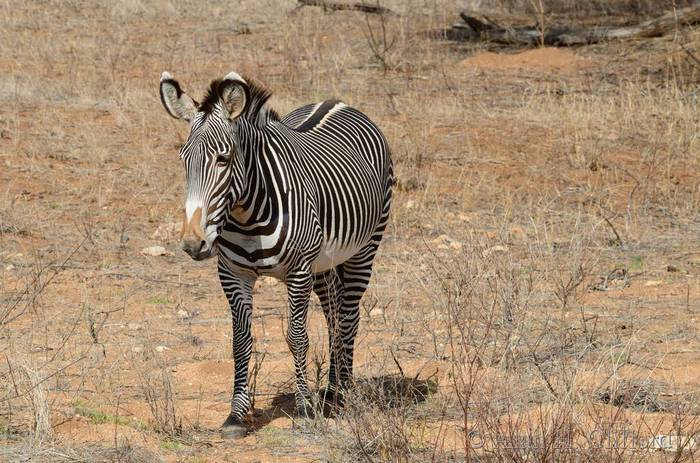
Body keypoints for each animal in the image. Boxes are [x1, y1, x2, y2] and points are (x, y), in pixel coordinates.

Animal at [159, 71, 393, 438]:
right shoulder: (233, 274)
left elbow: (297, 338)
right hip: (323, 265)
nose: (193, 244)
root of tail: (335, 102)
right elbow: (240, 341)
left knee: (349, 316)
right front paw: (236, 416)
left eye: (223, 159)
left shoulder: (298, 271)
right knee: (334, 315)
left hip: (365, 248)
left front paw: (304, 410)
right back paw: (331, 391)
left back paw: (343, 392)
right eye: (184, 160)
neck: (247, 214)